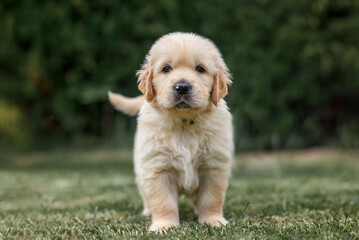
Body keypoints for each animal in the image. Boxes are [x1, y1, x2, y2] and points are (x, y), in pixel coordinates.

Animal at [108, 32, 235, 232]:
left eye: (200, 69)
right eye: (166, 69)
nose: (182, 87)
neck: (183, 123)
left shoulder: (214, 166)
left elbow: (211, 199)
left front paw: (213, 221)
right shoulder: (157, 167)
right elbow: (163, 202)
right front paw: (164, 226)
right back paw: (148, 211)